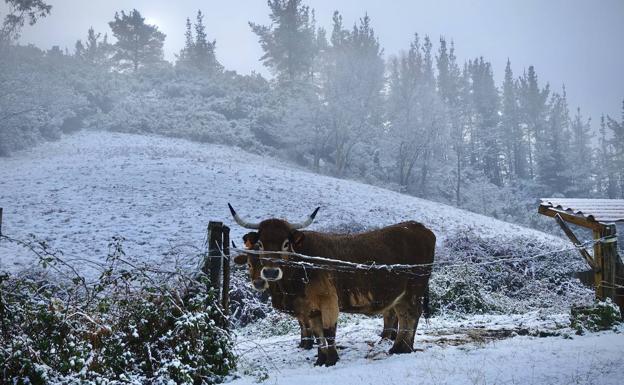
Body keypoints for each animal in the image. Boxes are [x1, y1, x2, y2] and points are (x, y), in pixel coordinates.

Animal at [229, 202, 434, 364]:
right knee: (403, 315)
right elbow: (318, 333)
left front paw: (332, 358)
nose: (270, 272)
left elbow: (328, 331)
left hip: (414, 289)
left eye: (286, 244)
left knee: (411, 315)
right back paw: (399, 347)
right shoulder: (310, 309)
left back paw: (403, 348)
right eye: (261, 244)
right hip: (401, 294)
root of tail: (419, 227)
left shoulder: (328, 301)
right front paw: (321, 359)